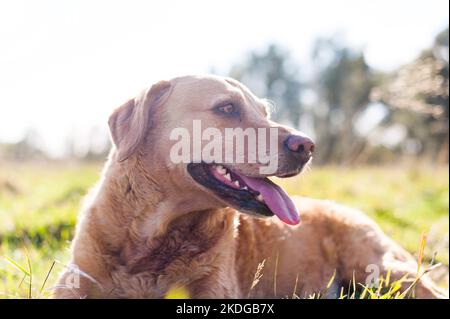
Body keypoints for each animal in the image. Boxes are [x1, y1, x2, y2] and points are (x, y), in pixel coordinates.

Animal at [55, 75, 446, 300]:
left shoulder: (215, 287)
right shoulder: (75, 281)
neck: (156, 236)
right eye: (227, 107)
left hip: (380, 267)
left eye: (264, 112)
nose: (308, 145)